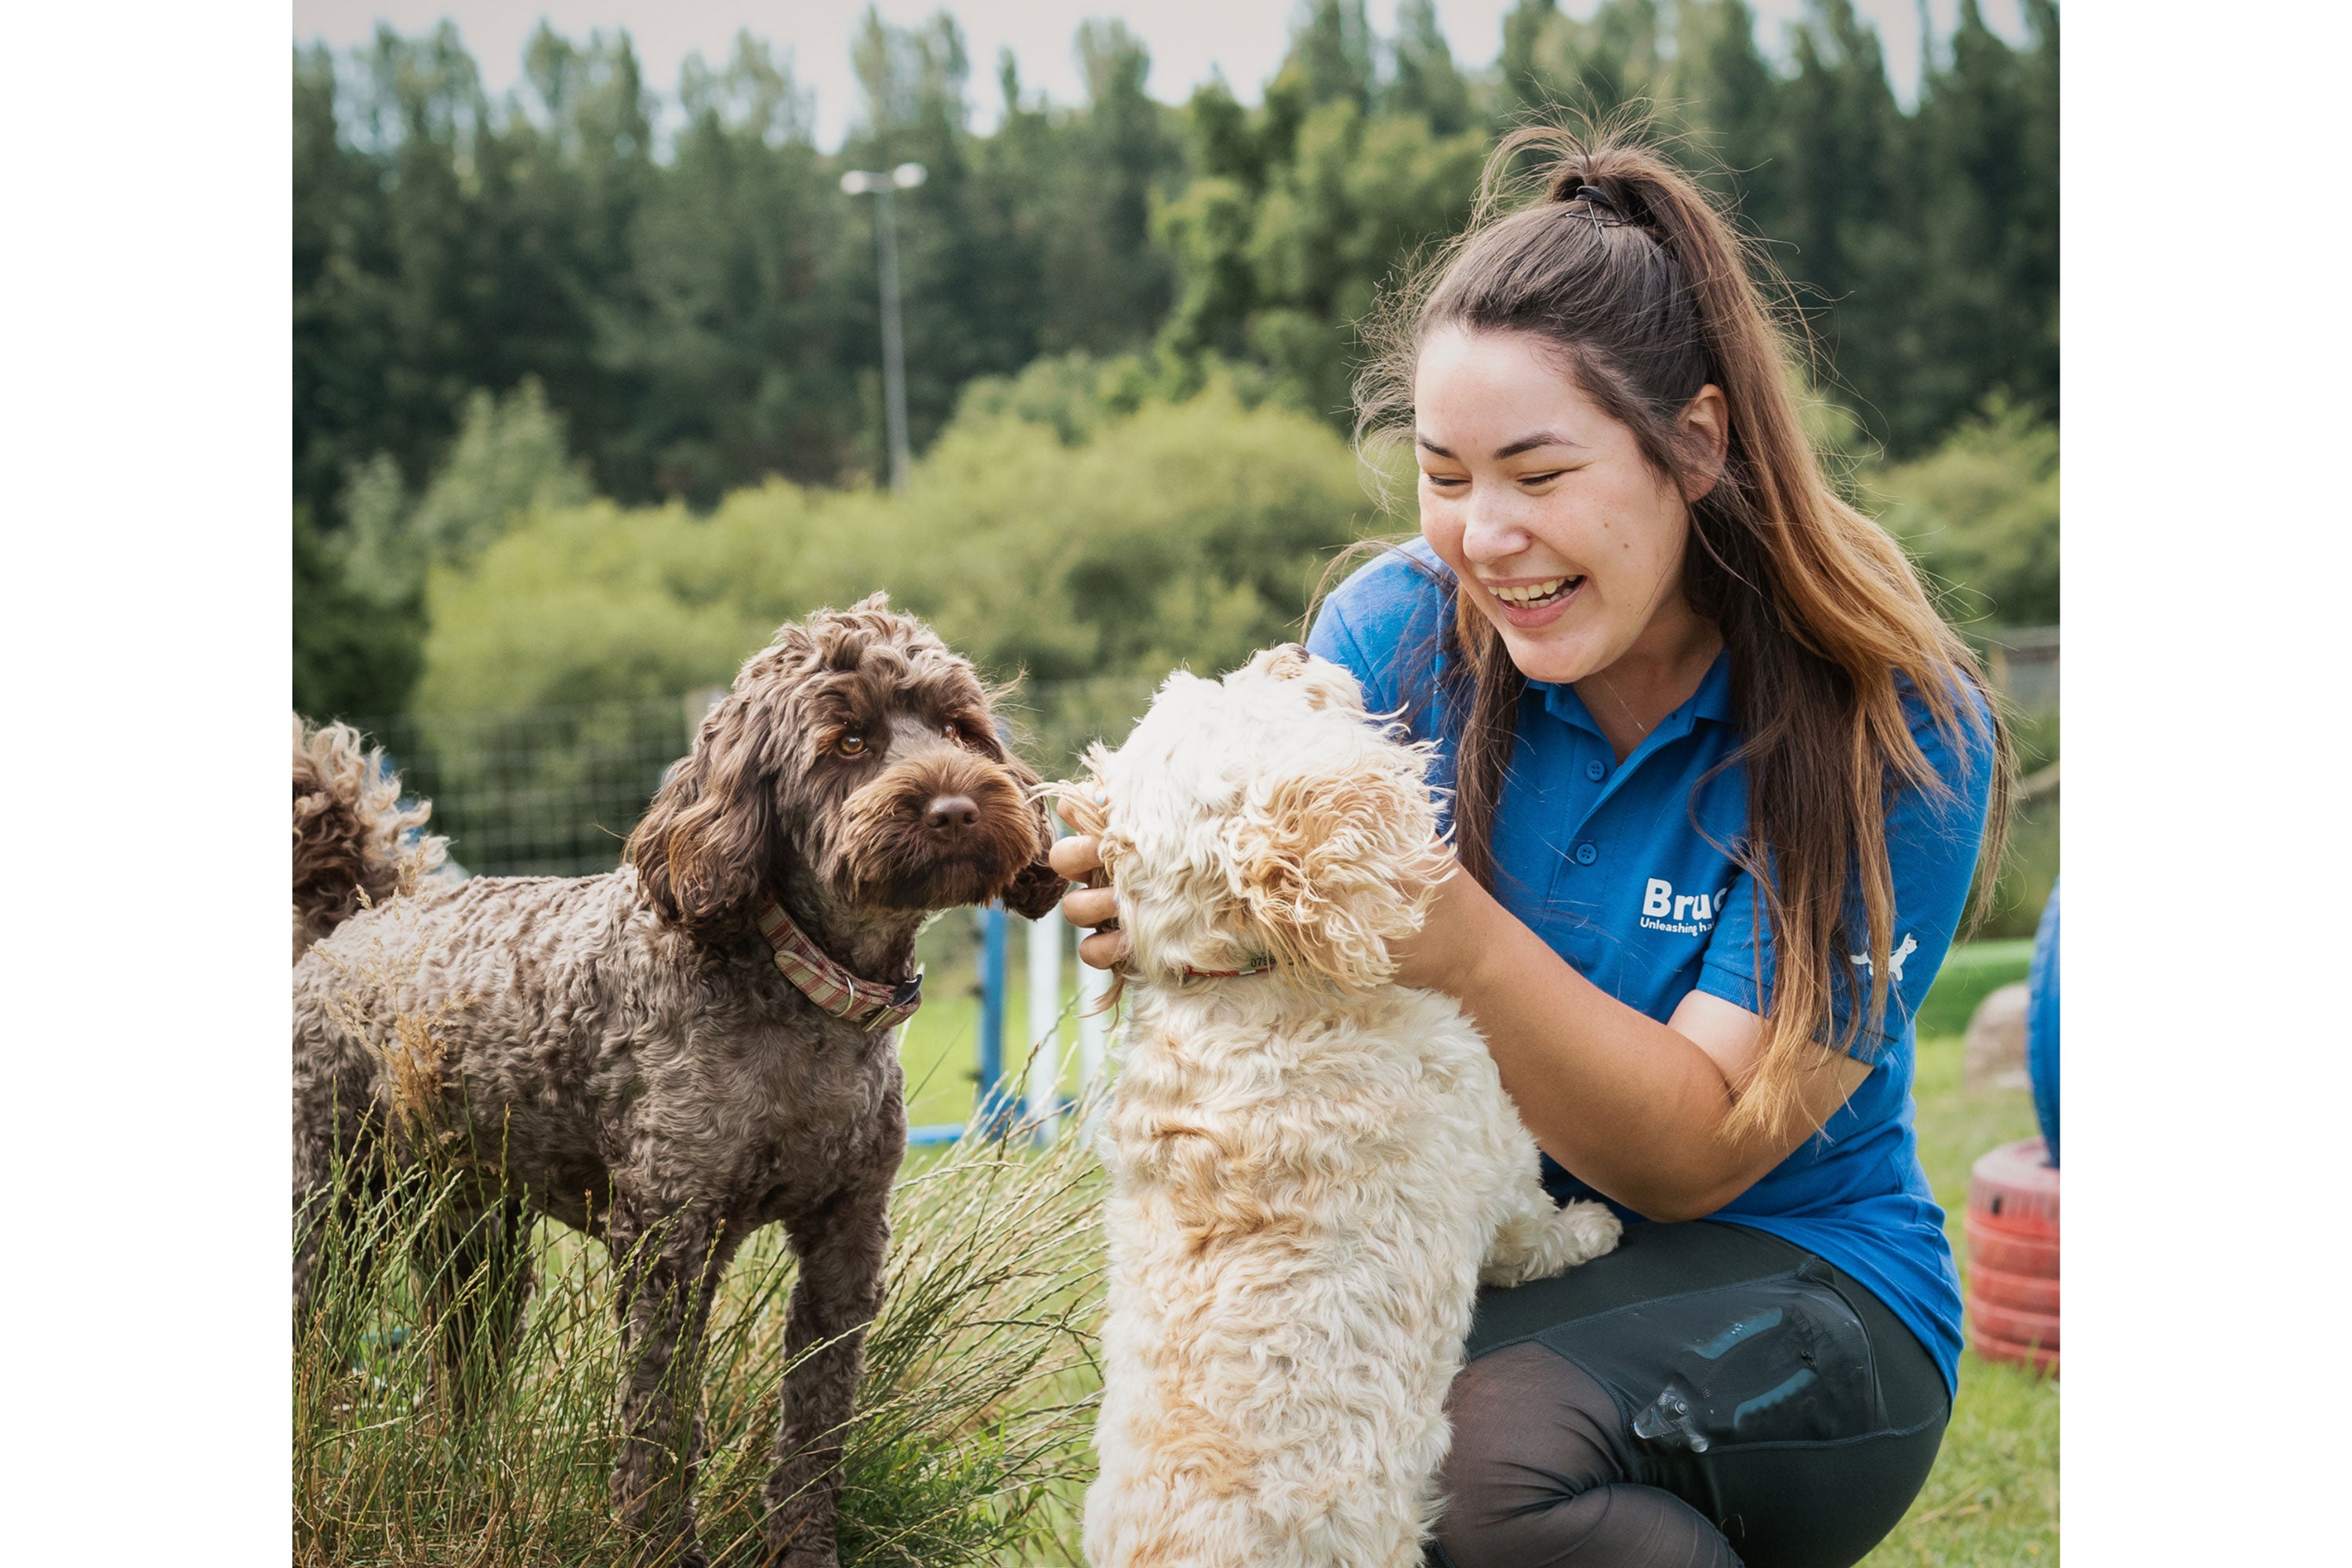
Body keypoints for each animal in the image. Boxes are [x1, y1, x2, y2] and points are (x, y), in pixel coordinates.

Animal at [294, 597, 1068, 1568]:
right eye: (848, 740)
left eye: (962, 727)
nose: (957, 805)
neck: (804, 990)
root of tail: (357, 917)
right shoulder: (669, 1236)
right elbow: (660, 1423)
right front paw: (662, 1544)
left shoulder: (847, 1237)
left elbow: (816, 1423)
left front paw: (806, 1552)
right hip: (331, 1210)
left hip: (475, 1239)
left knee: (462, 1380)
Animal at [1063, 644, 1618, 1561]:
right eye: (1251, 699)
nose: (1288, 649)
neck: (1242, 984)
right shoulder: (1496, 1158)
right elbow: (1536, 1234)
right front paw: (1593, 1228)